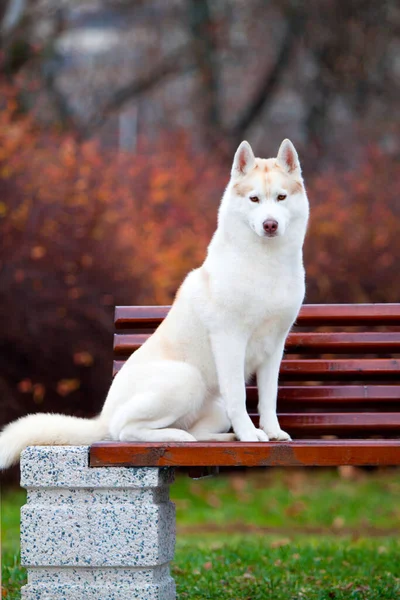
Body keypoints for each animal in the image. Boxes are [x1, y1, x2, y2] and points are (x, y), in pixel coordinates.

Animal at [0, 139, 310, 468]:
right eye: (254, 199)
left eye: (280, 197)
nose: (270, 224)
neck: (265, 264)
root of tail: (103, 417)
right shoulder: (230, 341)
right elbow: (239, 396)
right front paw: (250, 436)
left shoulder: (274, 347)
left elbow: (268, 398)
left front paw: (270, 432)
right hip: (186, 378)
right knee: (125, 430)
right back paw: (177, 437)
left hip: (214, 405)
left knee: (195, 430)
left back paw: (221, 438)